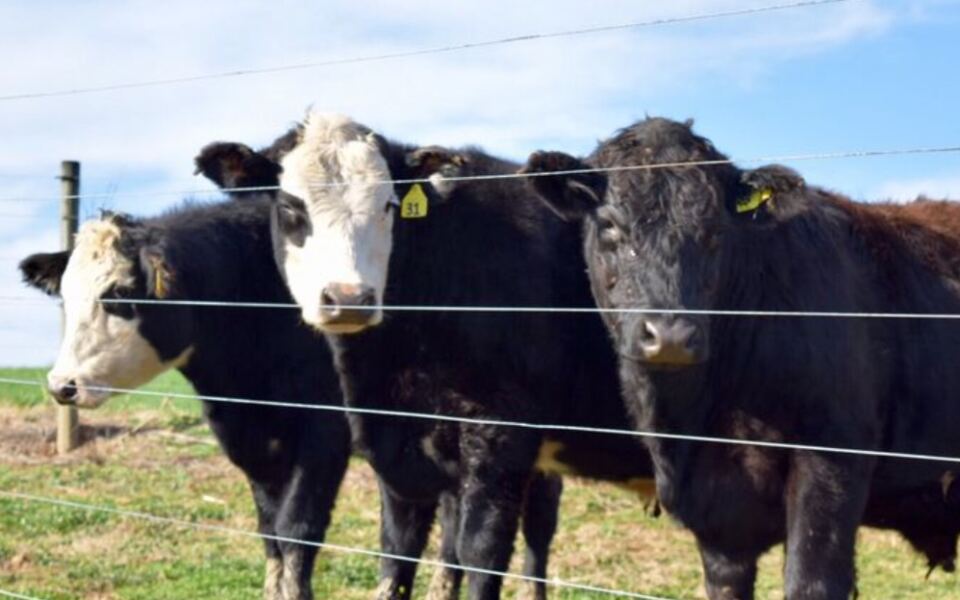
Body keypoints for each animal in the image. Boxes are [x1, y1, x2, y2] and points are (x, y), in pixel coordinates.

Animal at [200, 111, 657, 600]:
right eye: (290, 208)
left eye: (388, 205)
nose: (349, 298)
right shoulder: (397, 450)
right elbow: (397, 553)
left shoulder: (501, 440)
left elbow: (479, 554)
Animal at [523, 116, 960, 599]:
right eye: (610, 227)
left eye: (716, 232)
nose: (671, 336)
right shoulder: (718, 524)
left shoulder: (834, 460)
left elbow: (810, 580)